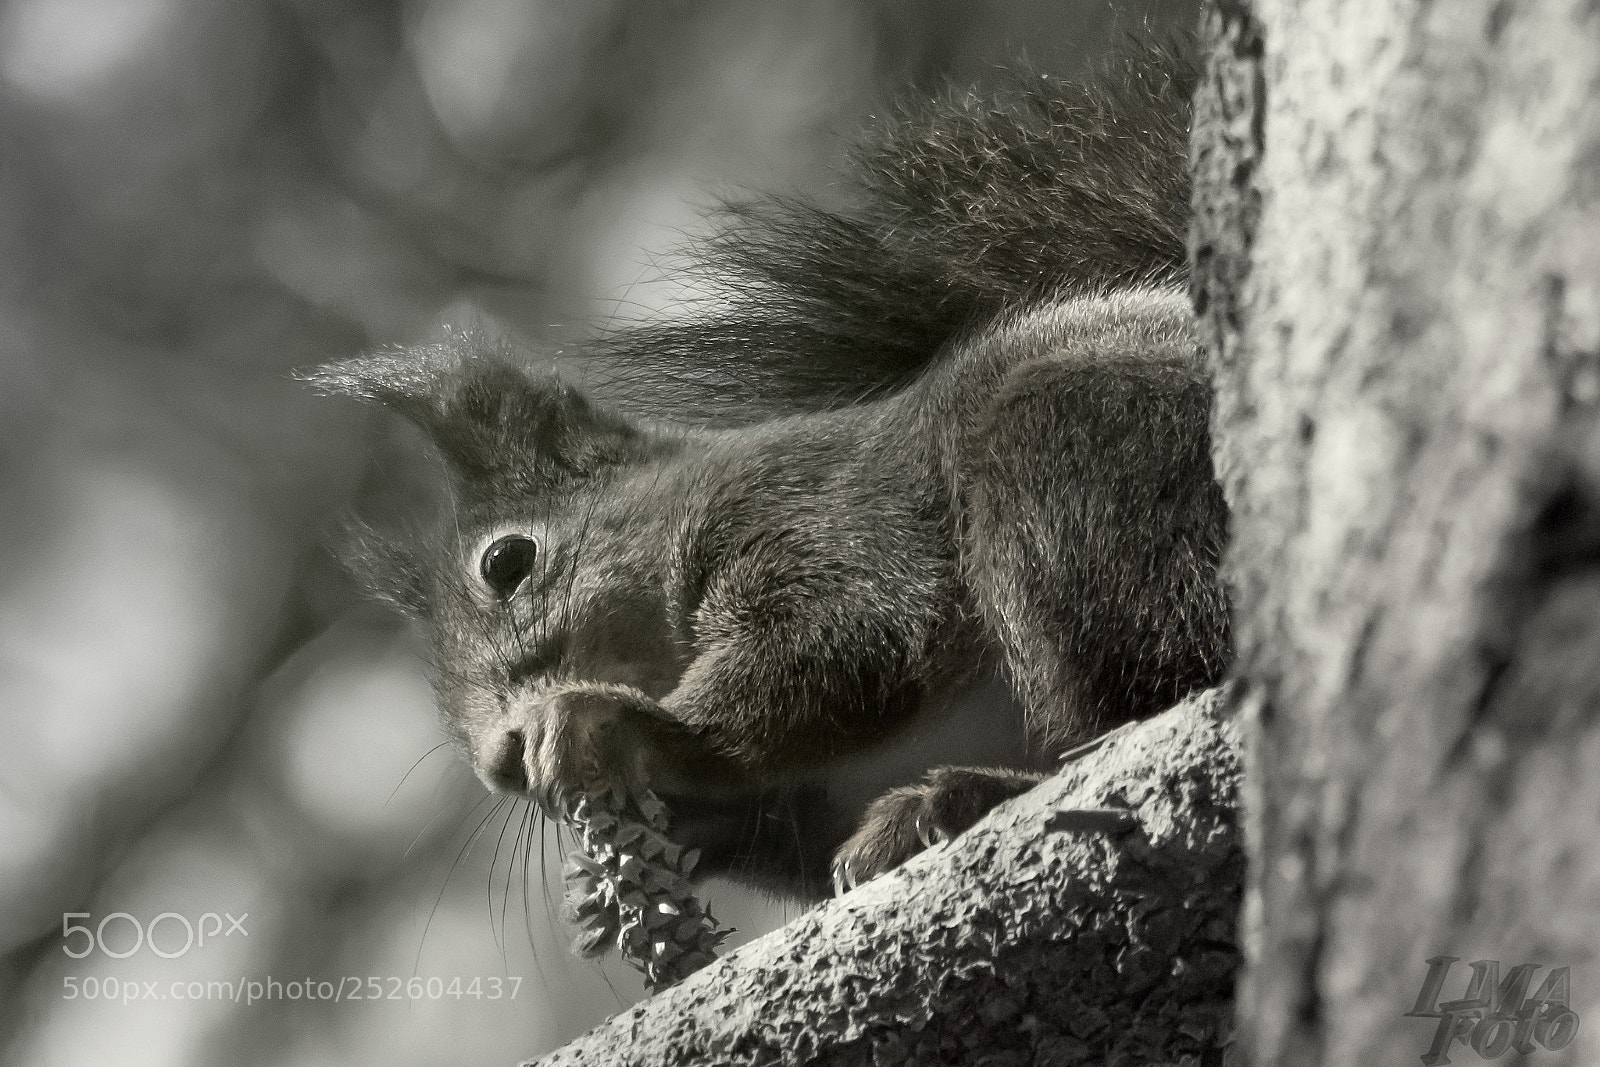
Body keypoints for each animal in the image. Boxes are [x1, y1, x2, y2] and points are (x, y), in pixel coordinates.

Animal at [311, 41, 1229, 902]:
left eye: (506, 561)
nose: (500, 763)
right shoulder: (810, 796)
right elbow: (788, 835)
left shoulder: (814, 512)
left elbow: (843, 641)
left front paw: (622, 725)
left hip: (1072, 448)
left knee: (1158, 681)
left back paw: (965, 794)